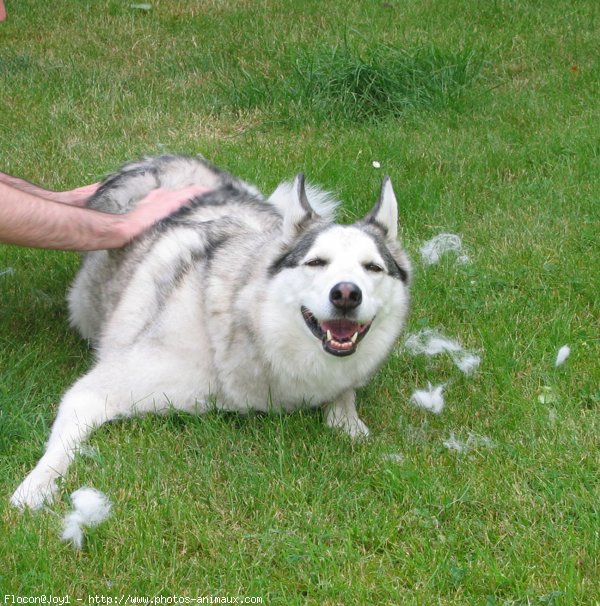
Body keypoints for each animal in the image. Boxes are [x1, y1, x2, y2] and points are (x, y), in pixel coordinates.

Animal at [10, 154, 412, 510]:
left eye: (372, 267)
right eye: (316, 262)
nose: (346, 294)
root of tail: (159, 158)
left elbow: (345, 398)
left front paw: (350, 423)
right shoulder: (92, 392)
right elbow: (59, 450)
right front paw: (35, 488)